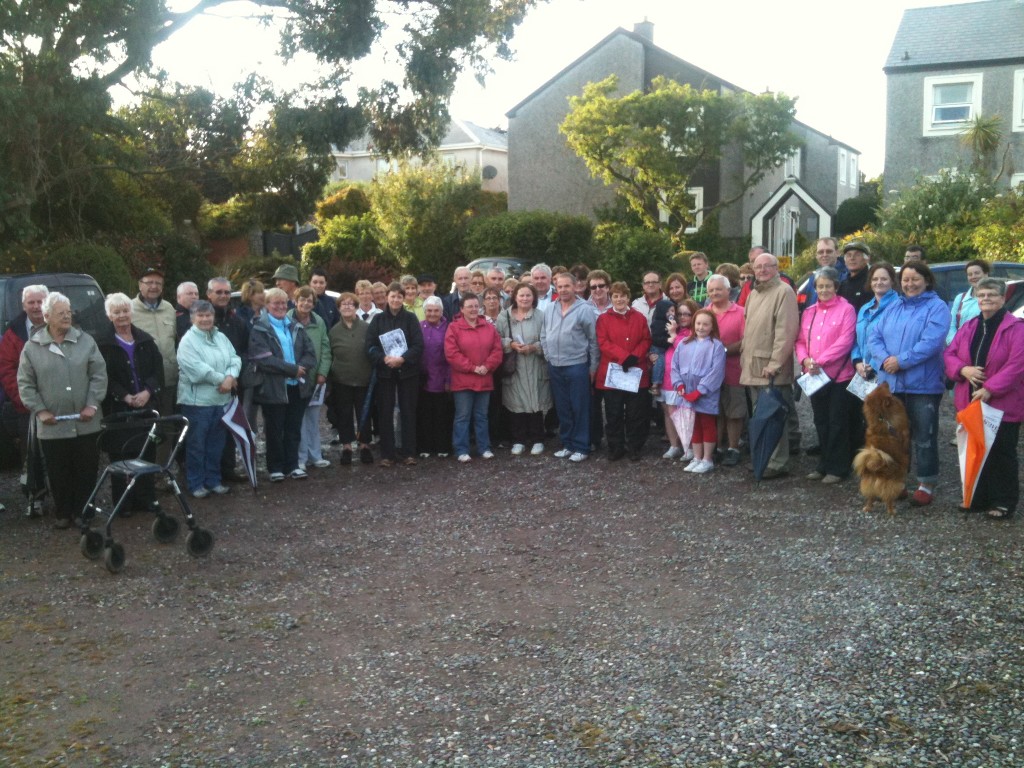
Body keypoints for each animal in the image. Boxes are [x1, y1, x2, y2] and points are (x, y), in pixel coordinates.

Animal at [856, 382, 913, 514]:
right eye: (885, 389)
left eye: (878, 388)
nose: (885, 381)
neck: (882, 418)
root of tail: (876, 469)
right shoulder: (904, 432)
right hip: (892, 484)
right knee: (888, 498)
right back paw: (892, 511)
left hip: (869, 483)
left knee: (870, 497)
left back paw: (867, 508)